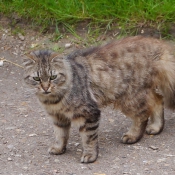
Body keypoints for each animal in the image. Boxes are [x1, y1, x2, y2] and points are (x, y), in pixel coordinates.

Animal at [23, 36, 175, 163]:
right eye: (37, 79)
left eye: (53, 77)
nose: (45, 87)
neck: (52, 100)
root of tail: (157, 43)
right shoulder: (58, 117)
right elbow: (60, 135)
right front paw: (59, 148)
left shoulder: (89, 113)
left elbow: (89, 139)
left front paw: (90, 155)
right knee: (158, 100)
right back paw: (156, 127)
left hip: (130, 98)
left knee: (143, 114)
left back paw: (133, 135)